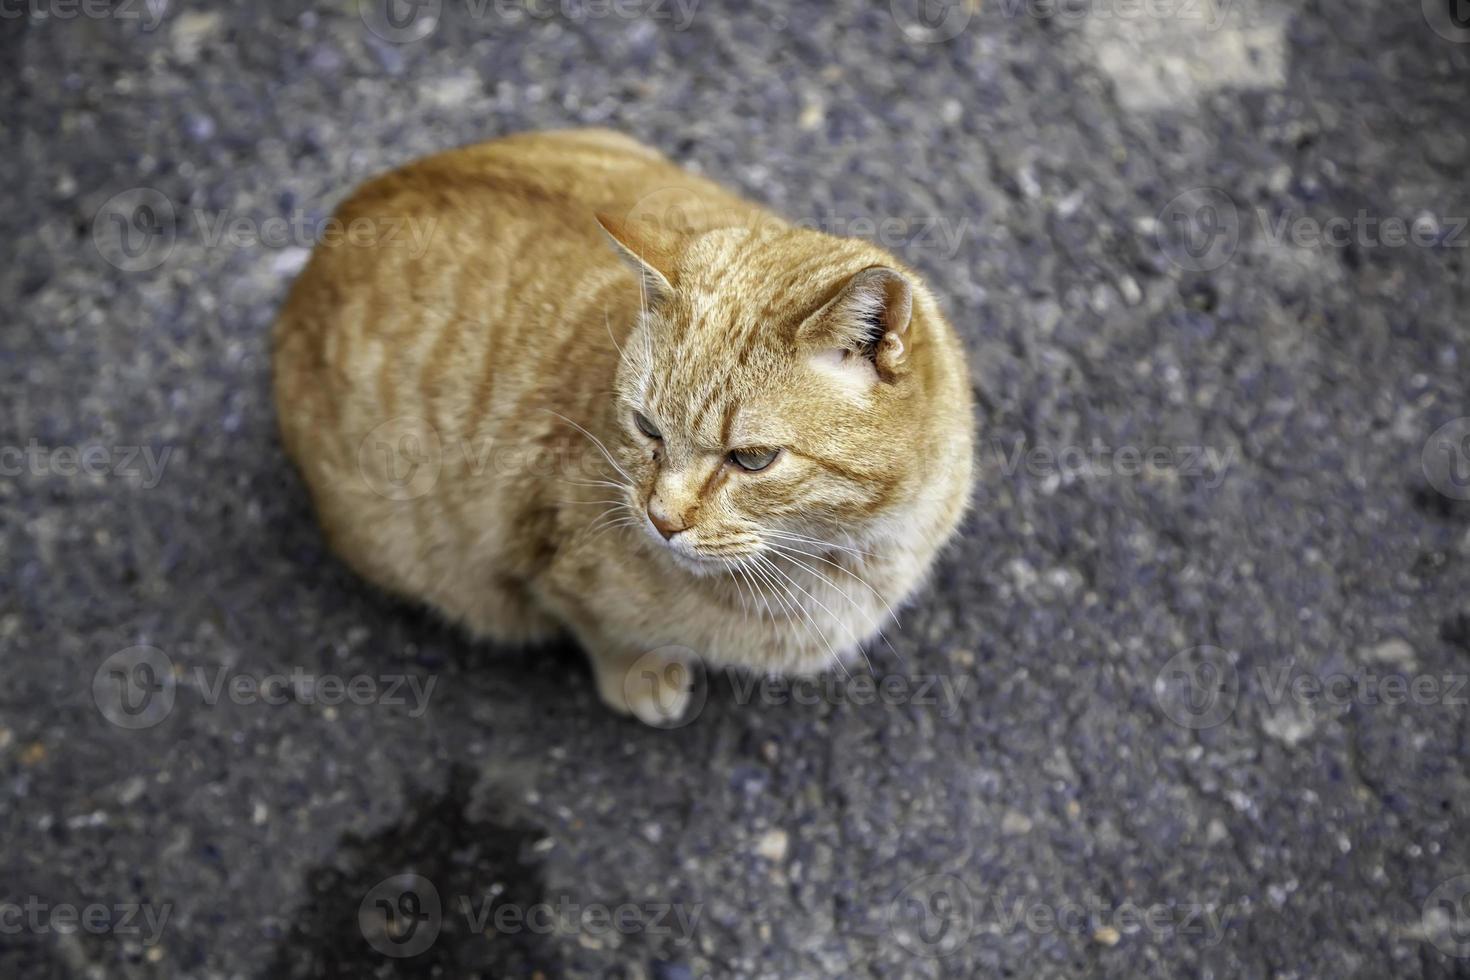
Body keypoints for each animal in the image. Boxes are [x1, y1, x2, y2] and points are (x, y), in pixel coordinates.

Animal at [270, 130, 976, 725]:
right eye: (646, 428)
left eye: (751, 459)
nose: (661, 520)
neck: (849, 553)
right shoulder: (547, 566)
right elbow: (603, 630)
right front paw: (641, 676)